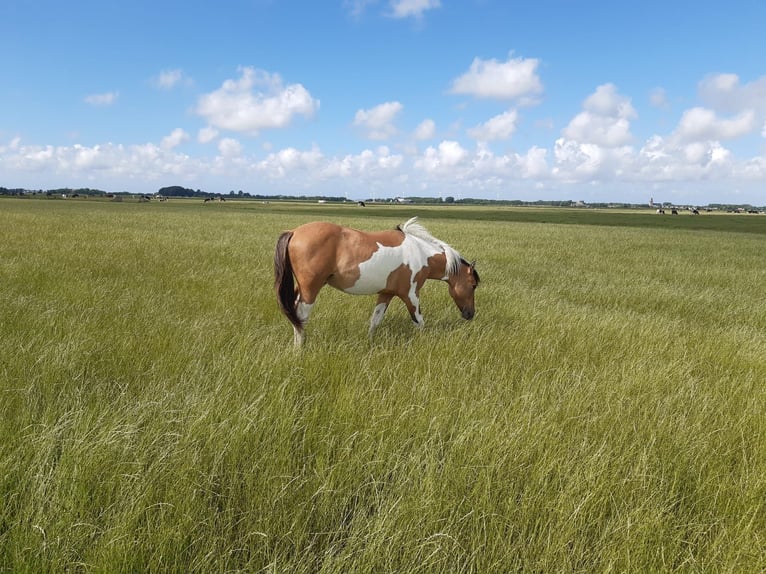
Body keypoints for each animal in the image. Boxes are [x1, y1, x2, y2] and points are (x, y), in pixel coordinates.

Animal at [274, 217, 480, 346]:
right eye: (473, 285)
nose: (470, 314)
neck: (420, 252)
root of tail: (293, 232)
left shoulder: (386, 294)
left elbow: (375, 320)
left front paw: (370, 343)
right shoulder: (411, 295)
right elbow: (418, 321)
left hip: (302, 289)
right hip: (310, 289)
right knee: (301, 317)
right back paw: (299, 349)